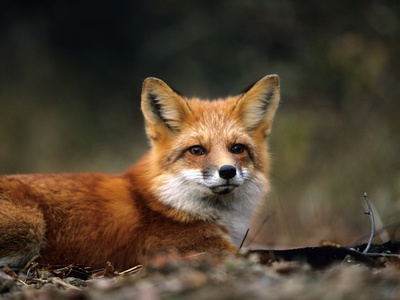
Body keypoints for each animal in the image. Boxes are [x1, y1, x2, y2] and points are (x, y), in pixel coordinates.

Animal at [0, 74, 280, 270]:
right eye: (197, 150)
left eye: (237, 148)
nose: (227, 171)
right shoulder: (205, 251)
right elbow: (268, 256)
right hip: (30, 226)